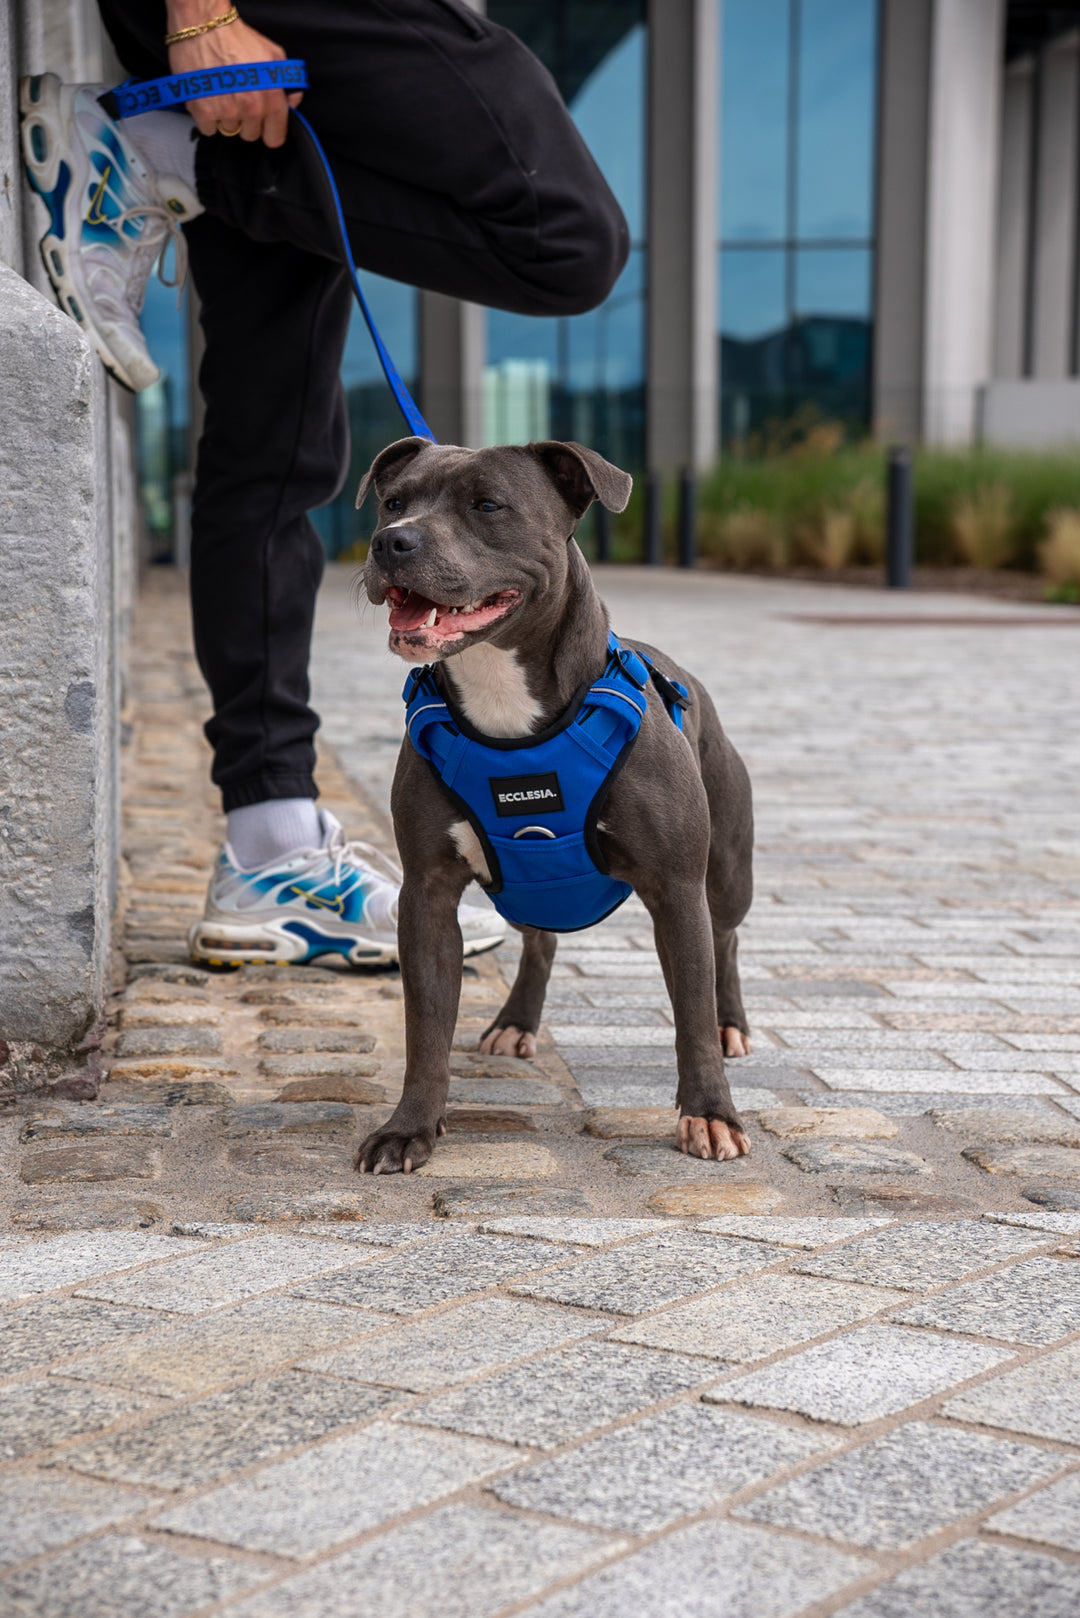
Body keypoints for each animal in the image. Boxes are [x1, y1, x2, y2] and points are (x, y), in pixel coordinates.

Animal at [354, 436, 751, 1177]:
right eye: (394, 501)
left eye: (487, 505)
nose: (391, 540)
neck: (504, 705)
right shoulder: (427, 895)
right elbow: (426, 1026)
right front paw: (409, 1128)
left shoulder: (677, 889)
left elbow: (688, 1013)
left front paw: (711, 1113)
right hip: (527, 889)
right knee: (540, 941)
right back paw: (516, 1021)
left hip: (727, 875)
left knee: (727, 940)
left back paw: (731, 1022)